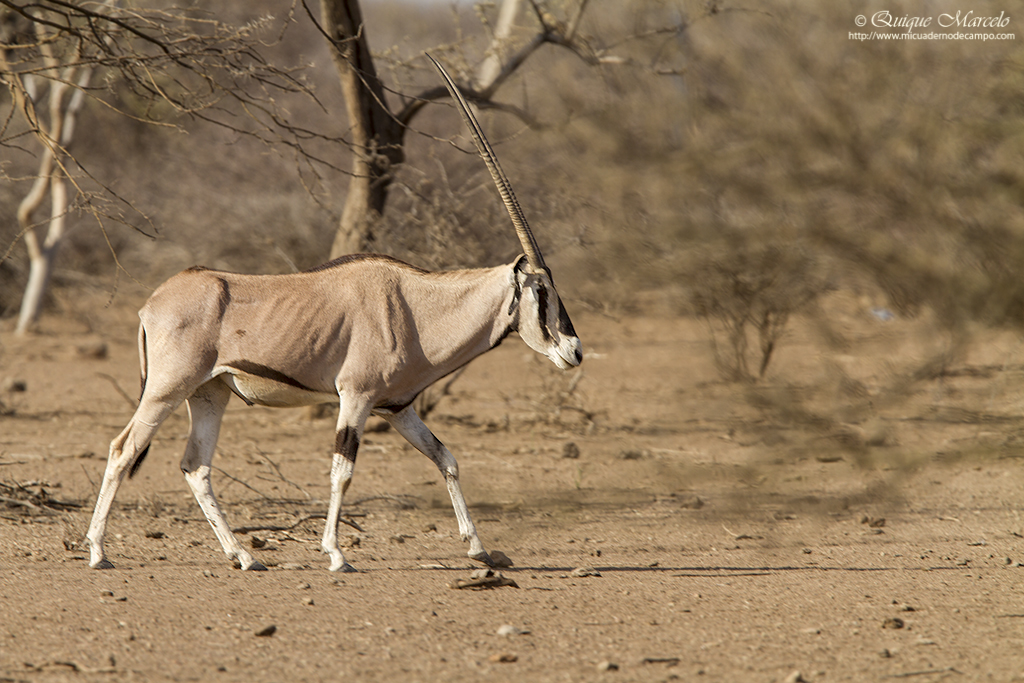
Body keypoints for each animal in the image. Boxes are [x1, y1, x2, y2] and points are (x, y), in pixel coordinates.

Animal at [85, 56, 582, 572]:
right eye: (541, 290)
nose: (574, 350)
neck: (417, 307)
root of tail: (151, 303)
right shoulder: (356, 397)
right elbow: (342, 472)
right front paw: (336, 554)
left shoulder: (397, 407)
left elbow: (445, 458)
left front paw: (479, 548)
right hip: (166, 389)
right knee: (123, 449)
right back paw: (99, 551)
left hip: (208, 394)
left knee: (195, 466)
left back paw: (243, 555)